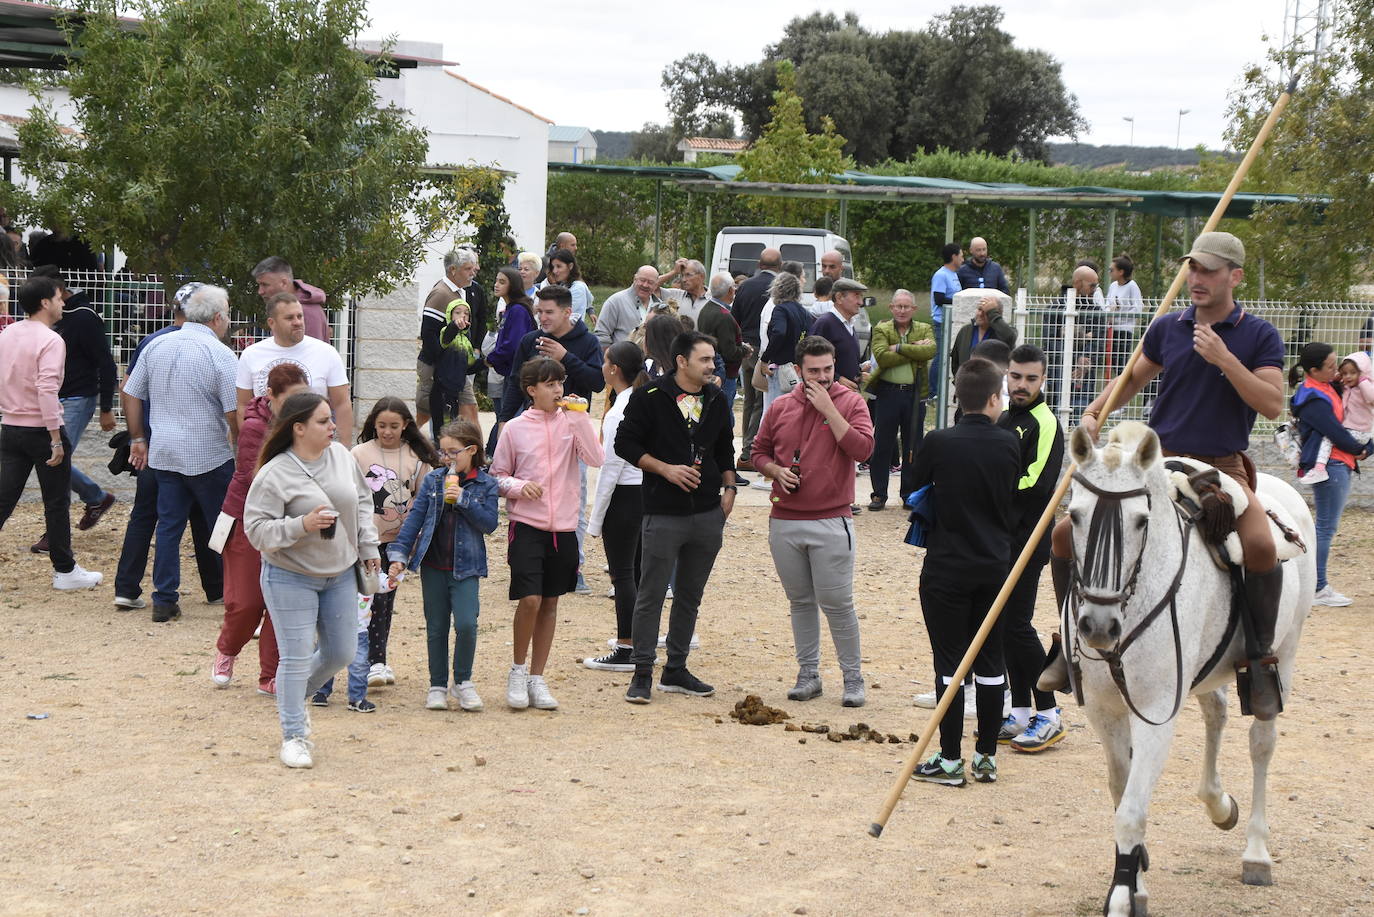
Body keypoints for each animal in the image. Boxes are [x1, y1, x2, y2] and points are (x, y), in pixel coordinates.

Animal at [1060, 426, 1308, 917]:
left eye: (1141, 521)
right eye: (1074, 516)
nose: (1098, 627)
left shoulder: (1156, 714)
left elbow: (1131, 811)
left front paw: (1122, 895)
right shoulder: (1105, 711)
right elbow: (1121, 791)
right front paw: (1136, 880)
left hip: (1284, 655)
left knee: (1261, 743)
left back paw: (1256, 852)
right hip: (1206, 671)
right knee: (1217, 712)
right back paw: (1218, 804)